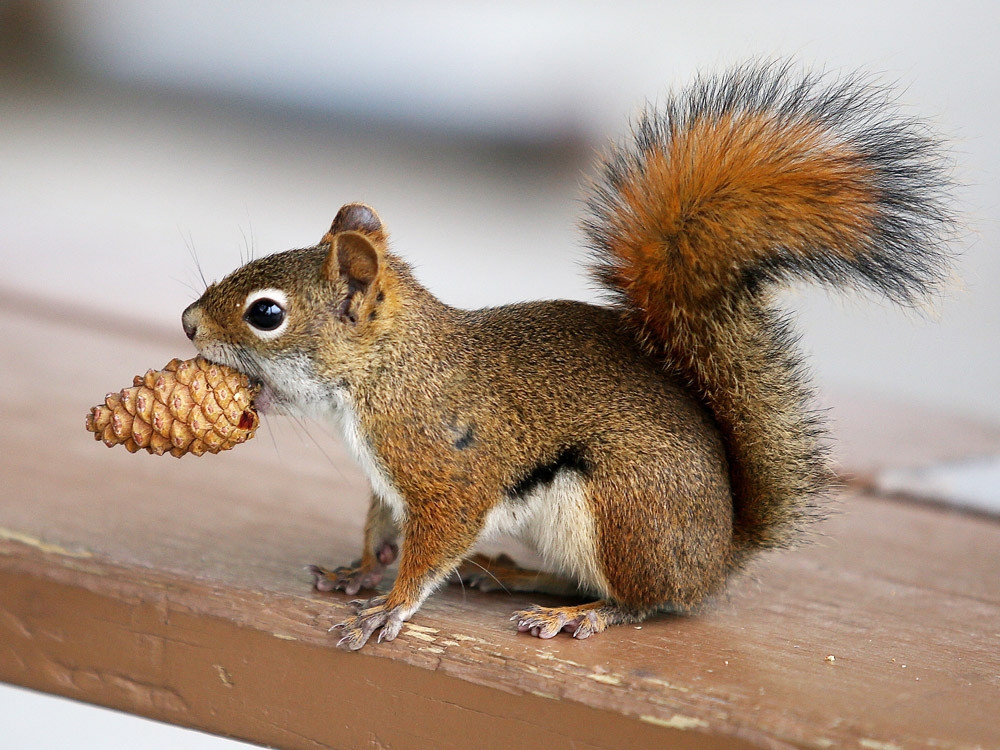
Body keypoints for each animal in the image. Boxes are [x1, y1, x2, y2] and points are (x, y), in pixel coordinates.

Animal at [181, 63, 953, 649]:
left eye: (266, 314)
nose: (188, 324)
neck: (385, 373)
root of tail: (718, 556)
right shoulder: (389, 481)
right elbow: (380, 525)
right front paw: (360, 570)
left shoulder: (445, 469)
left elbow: (434, 542)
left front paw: (390, 607)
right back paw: (515, 576)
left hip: (621, 513)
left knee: (644, 601)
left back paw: (580, 614)